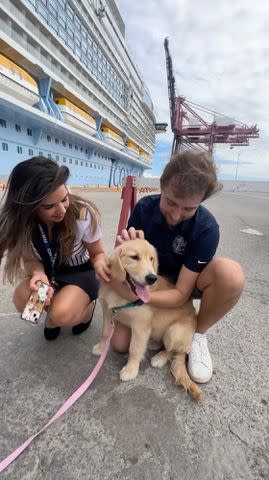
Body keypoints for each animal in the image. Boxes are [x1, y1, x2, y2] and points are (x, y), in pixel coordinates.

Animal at [93, 238, 200, 400]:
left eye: (151, 259)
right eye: (134, 257)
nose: (152, 278)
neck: (123, 294)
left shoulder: (140, 325)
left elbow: (134, 349)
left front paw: (130, 370)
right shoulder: (107, 311)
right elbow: (105, 333)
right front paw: (101, 348)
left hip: (174, 332)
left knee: (174, 351)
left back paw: (160, 358)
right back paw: (154, 343)